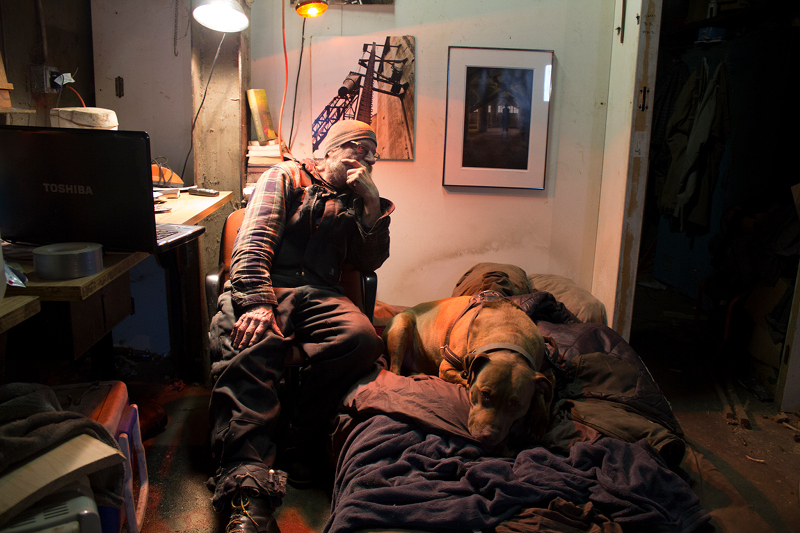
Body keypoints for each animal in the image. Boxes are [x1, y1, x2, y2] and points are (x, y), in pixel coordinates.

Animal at [382, 294, 555, 449]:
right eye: (485, 394)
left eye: (516, 404)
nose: (487, 436)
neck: (509, 336)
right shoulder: (446, 367)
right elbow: (465, 379)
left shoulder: (543, 368)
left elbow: (547, 388)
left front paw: (538, 421)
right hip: (402, 326)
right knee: (395, 369)